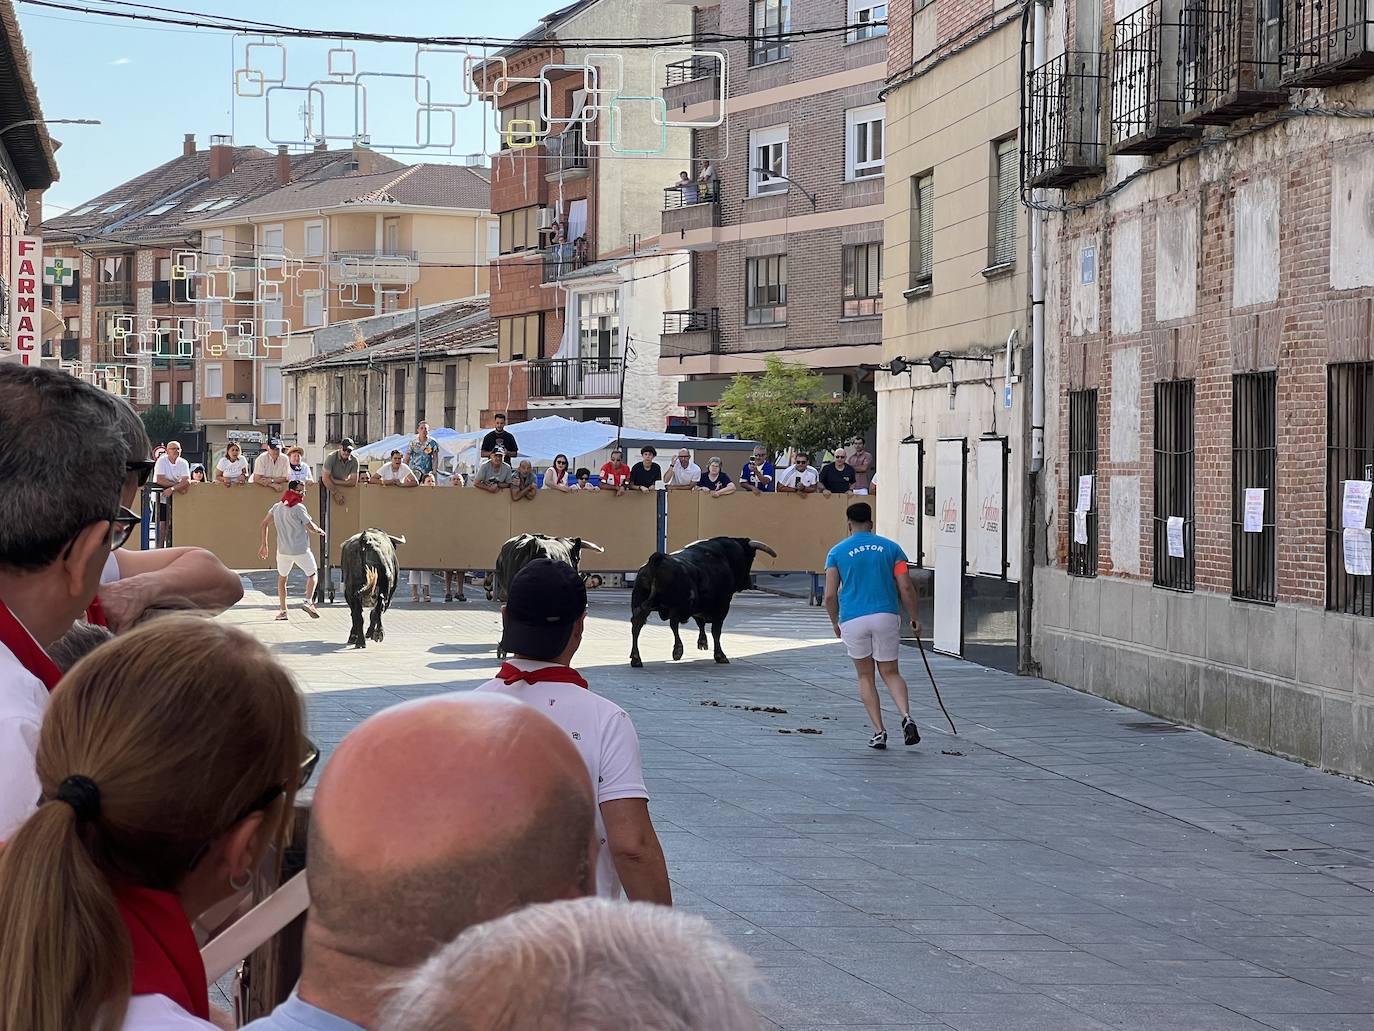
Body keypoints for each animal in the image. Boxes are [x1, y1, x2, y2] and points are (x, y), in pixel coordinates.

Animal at [629, 536, 780, 673]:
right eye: (750, 559)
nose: (749, 582)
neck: (726, 556)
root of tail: (658, 559)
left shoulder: (700, 608)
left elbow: (701, 623)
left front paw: (702, 642)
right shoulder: (722, 606)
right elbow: (716, 631)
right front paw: (720, 655)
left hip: (642, 604)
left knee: (637, 625)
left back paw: (636, 658)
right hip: (678, 606)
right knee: (673, 624)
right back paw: (677, 650)